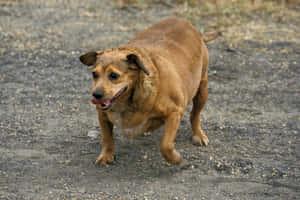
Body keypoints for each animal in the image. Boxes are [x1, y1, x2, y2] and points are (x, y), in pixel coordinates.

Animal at [79, 17, 219, 165]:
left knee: (195, 114)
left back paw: (198, 134)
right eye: (94, 74)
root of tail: (195, 31)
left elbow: (165, 145)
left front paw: (175, 159)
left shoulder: (175, 112)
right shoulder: (102, 115)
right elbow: (107, 138)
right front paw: (106, 155)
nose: (96, 95)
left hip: (202, 89)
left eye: (113, 75)